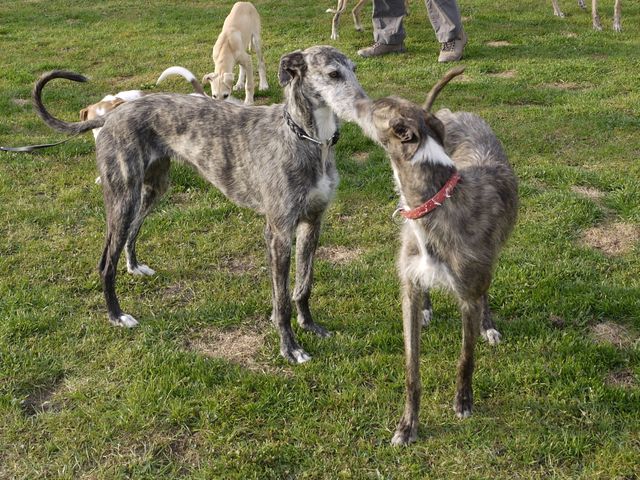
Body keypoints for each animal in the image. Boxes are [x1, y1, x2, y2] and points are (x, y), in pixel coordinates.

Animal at [32, 46, 367, 364]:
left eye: (354, 69)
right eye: (333, 74)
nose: (365, 107)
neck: (304, 138)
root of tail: (112, 114)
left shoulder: (313, 221)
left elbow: (303, 285)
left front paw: (309, 325)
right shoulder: (279, 232)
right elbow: (281, 300)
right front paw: (290, 348)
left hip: (152, 189)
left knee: (132, 232)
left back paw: (134, 266)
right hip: (122, 196)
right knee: (105, 262)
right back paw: (117, 315)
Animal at [343, 67, 518, 444]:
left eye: (376, 107)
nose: (355, 100)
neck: (434, 202)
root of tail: (454, 112)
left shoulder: (468, 295)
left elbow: (466, 358)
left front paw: (463, 402)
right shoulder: (406, 289)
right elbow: (412, 369)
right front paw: (407, 425)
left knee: (486, 291)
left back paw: (489, 325)